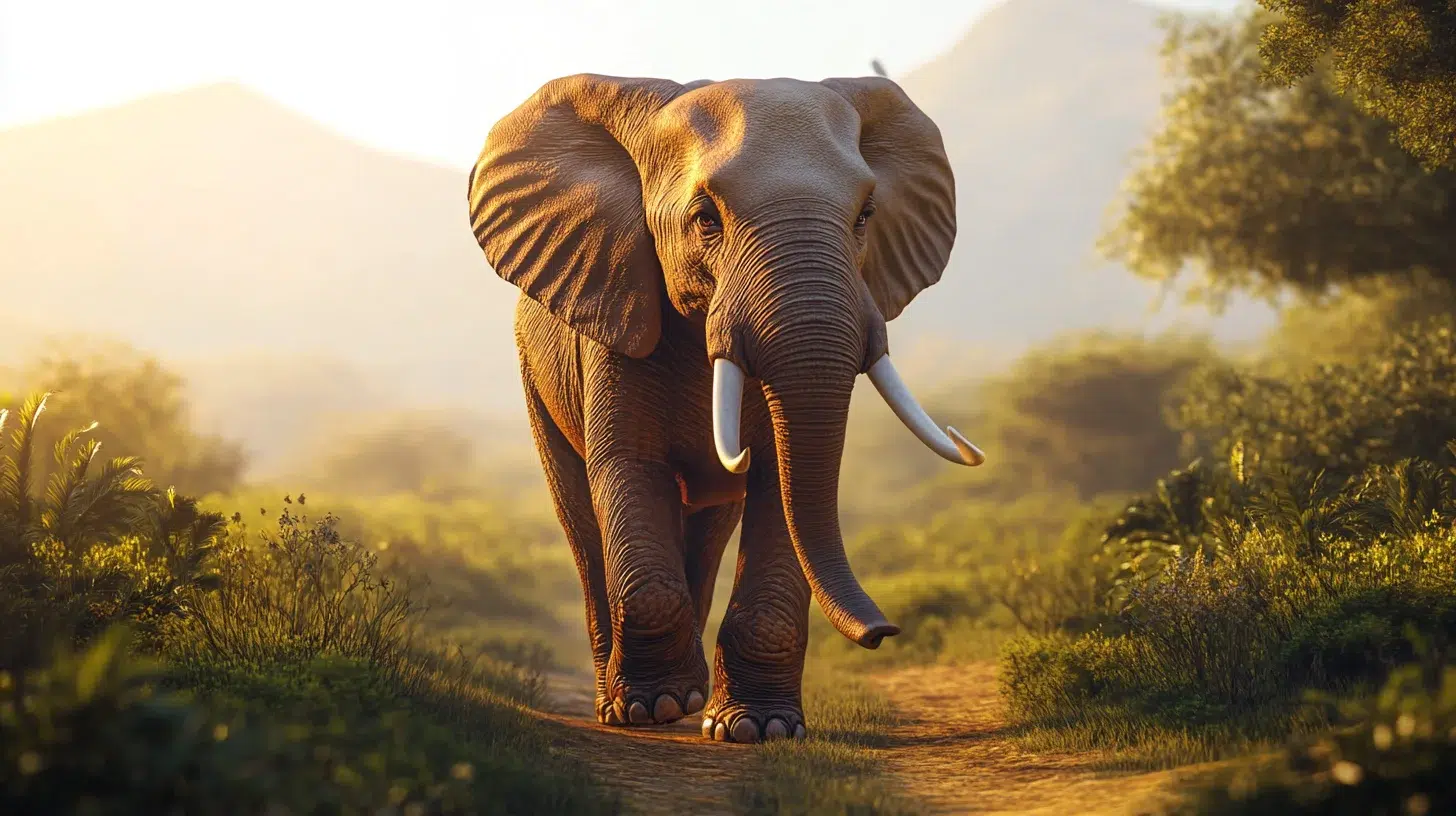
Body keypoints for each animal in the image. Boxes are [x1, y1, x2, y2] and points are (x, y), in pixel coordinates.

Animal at [467, 74, 984, 743]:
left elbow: (777, 485)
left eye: (866, 216)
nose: (883, 632)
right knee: (580, 520)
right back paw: (627, 702)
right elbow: (628, 467)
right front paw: (652, 709)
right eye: (705, 219)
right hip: (534, 376)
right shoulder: (618, 313)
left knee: (709, 526)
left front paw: (758, 728)